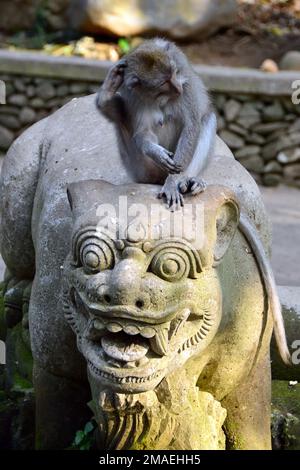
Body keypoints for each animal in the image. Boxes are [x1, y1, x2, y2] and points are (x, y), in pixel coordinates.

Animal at [96, 37, 216, 210]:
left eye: (175, 72)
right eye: (163, 83)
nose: (179, 88)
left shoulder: (185, 80)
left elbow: (191, 126)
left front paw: (172, 182)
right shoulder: (132, 93)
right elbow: (143, 132)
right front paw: (156, 153)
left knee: (207, 118)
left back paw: (188, 181)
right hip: (141, 171)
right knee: (120, 115)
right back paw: (106, 94)